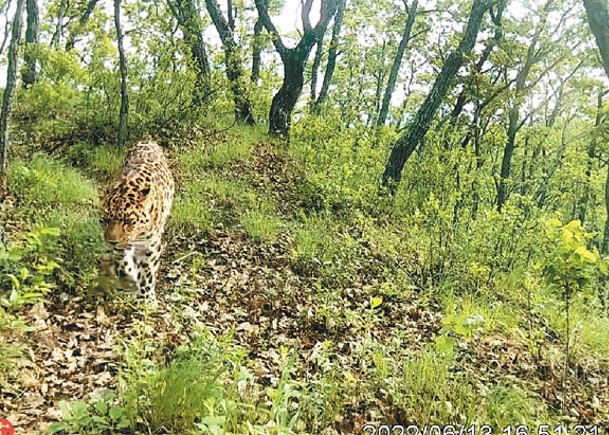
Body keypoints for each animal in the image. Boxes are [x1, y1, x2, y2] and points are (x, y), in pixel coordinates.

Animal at [100, 141, 175, 304]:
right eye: (106, 220)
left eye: (128, 221)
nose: (111, 242)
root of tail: (148, 141)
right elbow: (123, 263)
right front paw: (130, 280)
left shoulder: (150, 245)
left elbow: (147, 273)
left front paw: (147, 299)